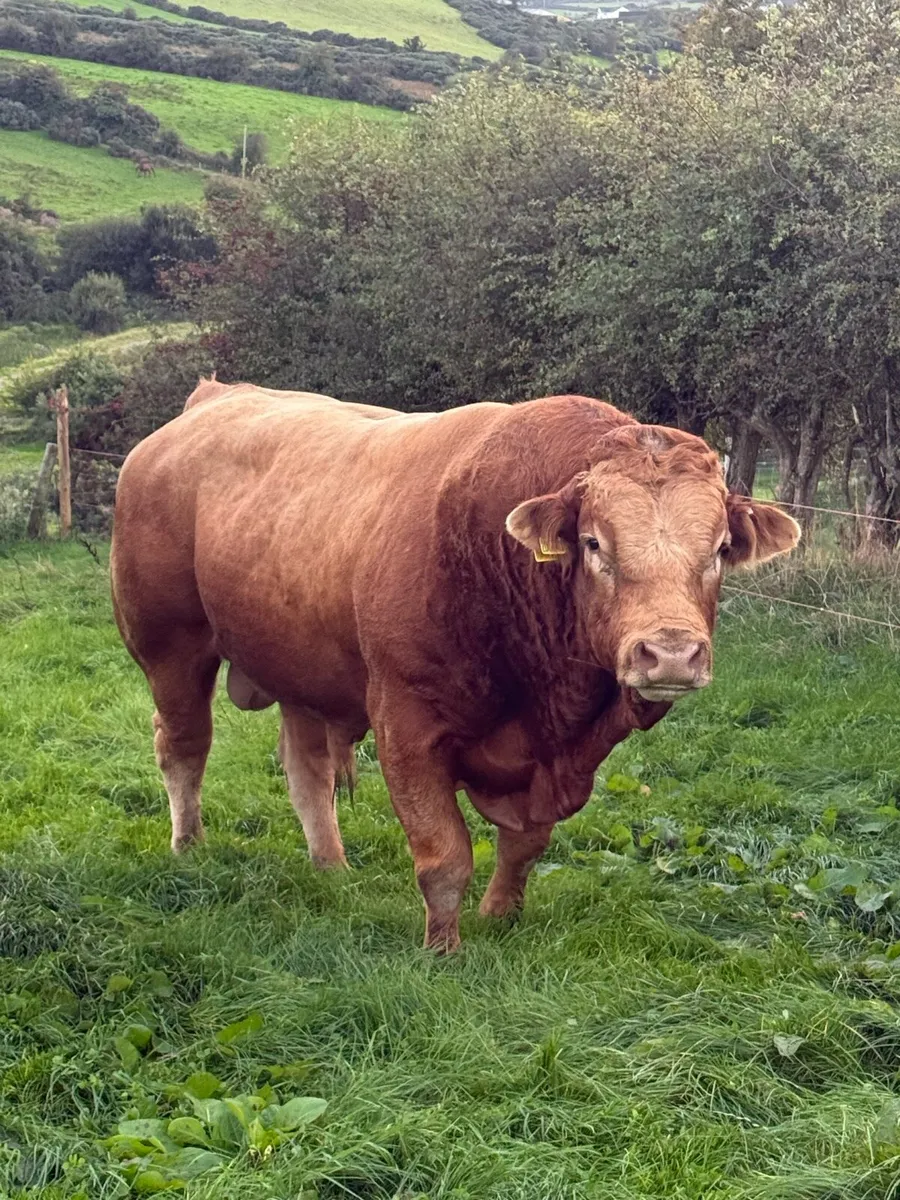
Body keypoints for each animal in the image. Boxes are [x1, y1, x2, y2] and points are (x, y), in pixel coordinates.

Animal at [111, 382, 800, 951]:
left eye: (719, 550)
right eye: (593, 543)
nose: (672, 652)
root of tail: (213, 398)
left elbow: (525, 845)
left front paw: (500, 916)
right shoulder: (406, 729)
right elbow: (444, 856)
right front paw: (442, 950)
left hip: (301, 669)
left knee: (306, 771)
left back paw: (332, 868)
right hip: (171, 647)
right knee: (183, 747)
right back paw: (189, 846)